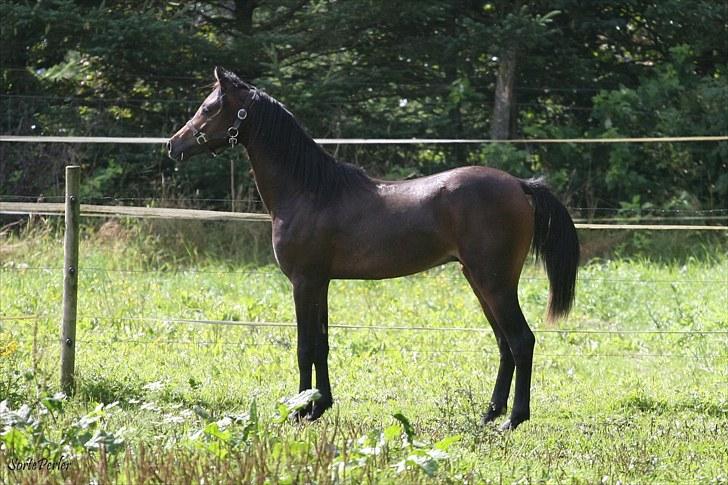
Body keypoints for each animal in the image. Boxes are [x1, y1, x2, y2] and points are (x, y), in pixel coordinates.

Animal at [169, 66, 580, 430]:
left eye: (209, 108)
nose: (173, 145)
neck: (310, 191)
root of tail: (520, 185)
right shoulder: (321, 283)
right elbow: (321, 344)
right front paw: (318, 407)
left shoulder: (303, 282)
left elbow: (304, 347)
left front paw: (299, 411)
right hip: (479, 282)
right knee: (504, 343)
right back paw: (490, 413)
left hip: (494, 283)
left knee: (521, 341)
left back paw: (513, 419)